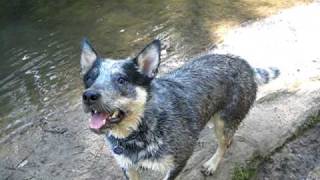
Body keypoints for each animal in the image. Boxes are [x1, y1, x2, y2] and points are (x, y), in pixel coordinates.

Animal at [80, 38, 280, 179]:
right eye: (89, 78)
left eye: (121, 80)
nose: (88, 96)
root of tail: (245, 64)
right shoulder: (128, 167)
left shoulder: (178, 161)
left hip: (224, 122)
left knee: (224, 143)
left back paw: (212, 164)